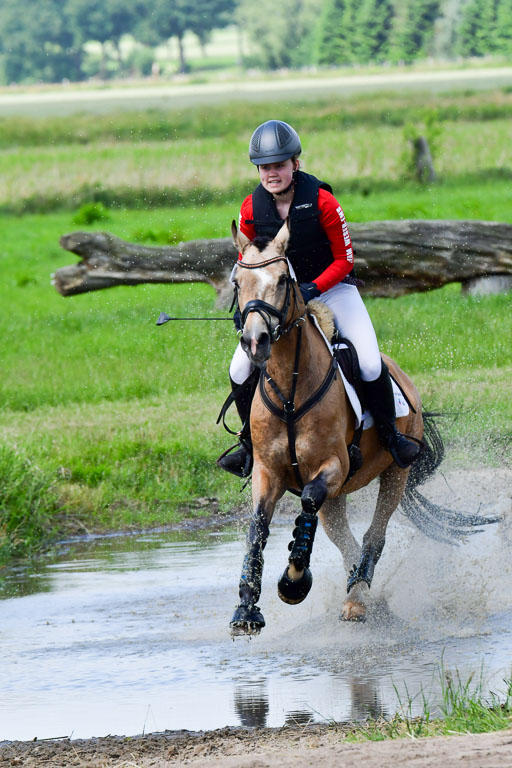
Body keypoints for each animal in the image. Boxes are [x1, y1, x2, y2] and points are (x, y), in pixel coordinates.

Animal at [226, 220, 498, 635]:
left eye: (283, 280)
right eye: (238, 282)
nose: (254, 341)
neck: (290, 391)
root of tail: (402, 376)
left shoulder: (333, 468)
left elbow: (307, 502)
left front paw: (293, 583)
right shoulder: (268, 471)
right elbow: (258, 527)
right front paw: (246, 608)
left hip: (395, 472)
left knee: (374, 534)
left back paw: (357, 596)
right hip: (337, 497)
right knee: (345, 541)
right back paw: (359, 590)